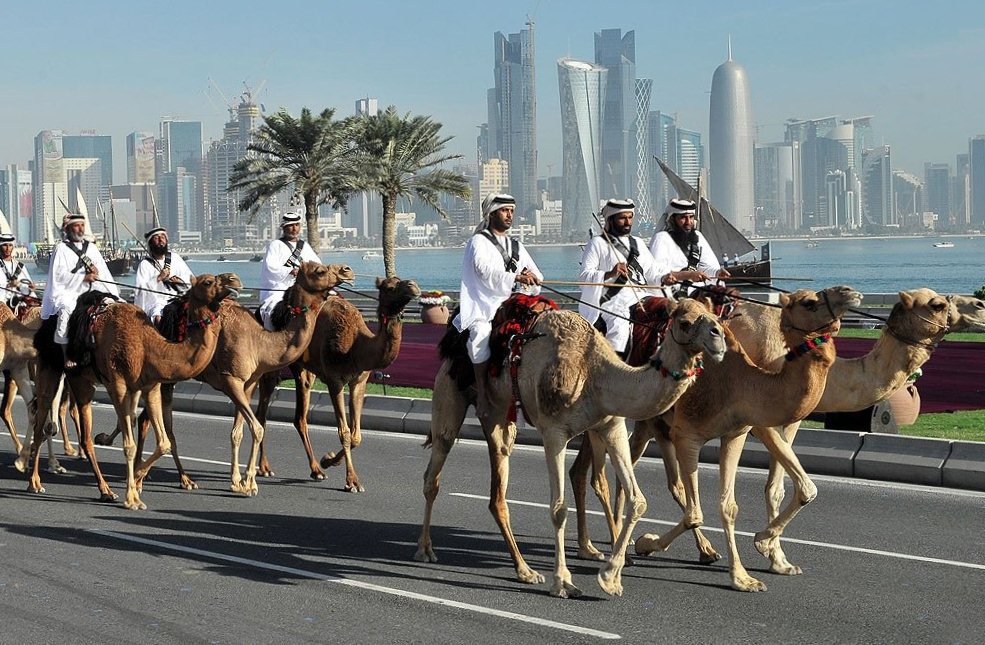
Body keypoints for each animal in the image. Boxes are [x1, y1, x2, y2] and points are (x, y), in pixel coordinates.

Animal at [26, 272, 231, 508]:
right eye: (208, 282)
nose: (234, 281)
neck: (148, 346)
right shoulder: (119, 385)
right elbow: (129, 445)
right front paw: (132, 496)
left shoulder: (151, 387)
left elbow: (164, 442)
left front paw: (139, 478)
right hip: (50, 368)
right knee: (43, 419)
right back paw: (35, 481)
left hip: (81, 380)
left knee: (82, 434)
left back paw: (105, 490)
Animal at [254, 274, 418, 490]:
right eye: (390, 287)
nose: (413, 286)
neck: (357, 346)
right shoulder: (335, 381)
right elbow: (344, 432)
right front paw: (352, 481)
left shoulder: (359, 381)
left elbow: (356, 435)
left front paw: (329, 459)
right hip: (271, 365)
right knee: (262, 413)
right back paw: (264, 468)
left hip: (304, 370)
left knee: (300, 416)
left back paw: (317, 470)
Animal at [412, 300, 728, 596]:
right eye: (685, 322)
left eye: (715, 316)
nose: (720, 338)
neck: (596, 373)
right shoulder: (554, 433)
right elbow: (559, 509)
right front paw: (564, 582)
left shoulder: (612, 426)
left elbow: (638, 500)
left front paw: (611, 577)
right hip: (450, 393)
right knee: (435, 468)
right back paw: (426, 550)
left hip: (500, 417)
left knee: (497, 485)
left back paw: (524, 570)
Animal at [632, 286, 860, 588]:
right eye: (809, 303)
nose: (850, 292)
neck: (738, 382)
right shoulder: (687, 435)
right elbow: (695, 513)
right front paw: (645, 542)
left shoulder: (735, 433)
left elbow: (728, 507)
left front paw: (743, 576)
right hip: (649, 425)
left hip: (654, 426)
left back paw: (704, 551)